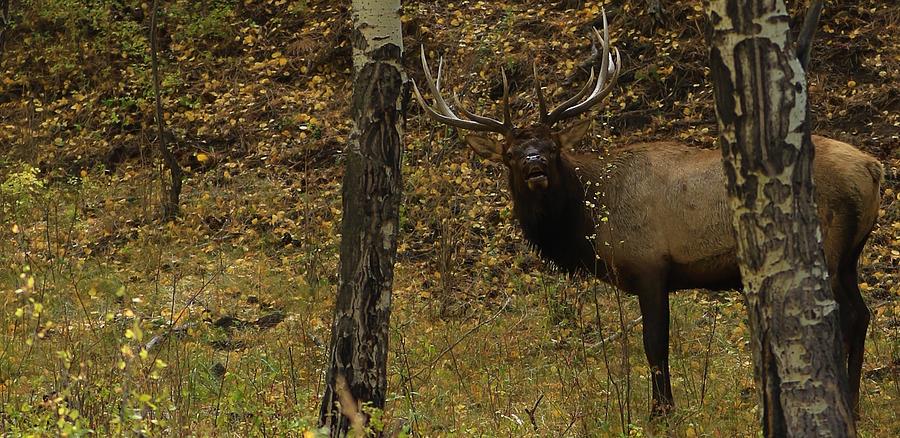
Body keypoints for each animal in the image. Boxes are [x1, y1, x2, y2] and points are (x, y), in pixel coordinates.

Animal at [412, 9, 884, 414]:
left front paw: (661, 411)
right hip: (851, 254)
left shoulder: (651, 265)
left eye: (553, 146)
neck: (591, 222)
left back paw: (848, 402)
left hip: (829, 246)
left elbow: (654, 345)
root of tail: (873, 167)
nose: (534, 166)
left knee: (845, 317)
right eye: (510, 154)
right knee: (862, 314)